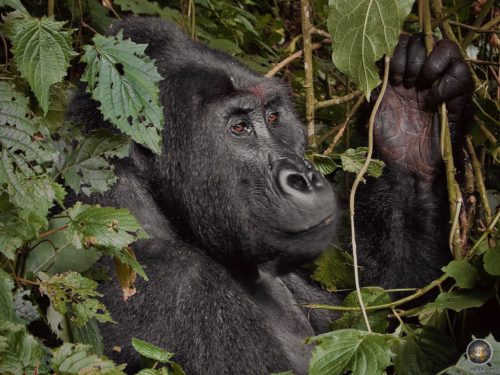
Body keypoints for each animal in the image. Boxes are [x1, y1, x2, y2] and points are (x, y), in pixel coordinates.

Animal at [67, 16, 472, 375]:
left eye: (273, 117)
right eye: (239, 128)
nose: (304, 177)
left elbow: (377, 309)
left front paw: (407, 120)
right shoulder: (167, 281)